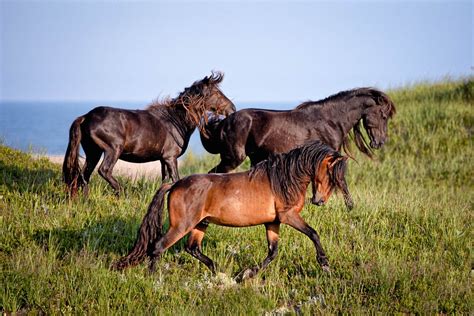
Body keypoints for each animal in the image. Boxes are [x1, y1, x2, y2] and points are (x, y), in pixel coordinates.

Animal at [61, 71, 235, 196]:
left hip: (93, 152)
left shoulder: (163, 159)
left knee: (84, 176)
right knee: (103, 171)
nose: (232, 108)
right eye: (215, 93)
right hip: (112, 150)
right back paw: (122, 193)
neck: (175, 120)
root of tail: (86, 116)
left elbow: (165, 180)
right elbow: (175, 179)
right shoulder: (170, 158)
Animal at [113, 142, 354, 280]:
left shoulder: (273, 222)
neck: (283, 179)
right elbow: (313, 233)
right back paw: (154, 279)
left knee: (192, 248)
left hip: (200, 224)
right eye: (332, 175)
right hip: (182, 225)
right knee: (158, 246)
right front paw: (324, 264)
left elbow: (272, 252)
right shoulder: (288, 216)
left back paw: (218, 271)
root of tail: (175, 184)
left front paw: (246, 274)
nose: (319, 201)